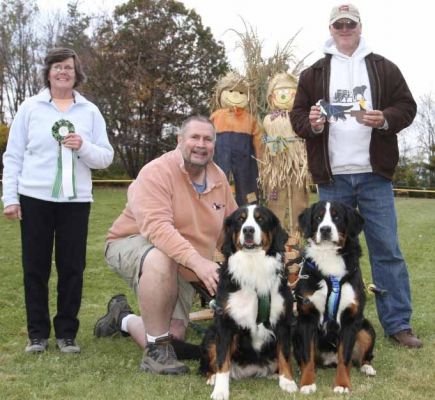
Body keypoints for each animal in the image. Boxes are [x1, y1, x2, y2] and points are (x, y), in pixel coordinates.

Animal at [200, 205, 296, 398]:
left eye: (260, 219)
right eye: (240, 220)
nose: (248, 230)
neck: (253, 265)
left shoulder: (283, 321)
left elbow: (284, 354)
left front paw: (287, 381)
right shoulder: (225, 323)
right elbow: (222, 360)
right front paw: (220, 390)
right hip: (211, 334)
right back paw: (212, 377)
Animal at [294, 202, 376, 396]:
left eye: (337, 217)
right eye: (318, 217)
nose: (325, 229)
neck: (329, 257)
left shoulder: (350, 320)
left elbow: (344, 357)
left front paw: (343, 384)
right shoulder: (307, 318)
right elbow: (307, 356)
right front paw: (307, 383)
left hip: (366, 328)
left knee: (362, 356)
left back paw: (367, 367)